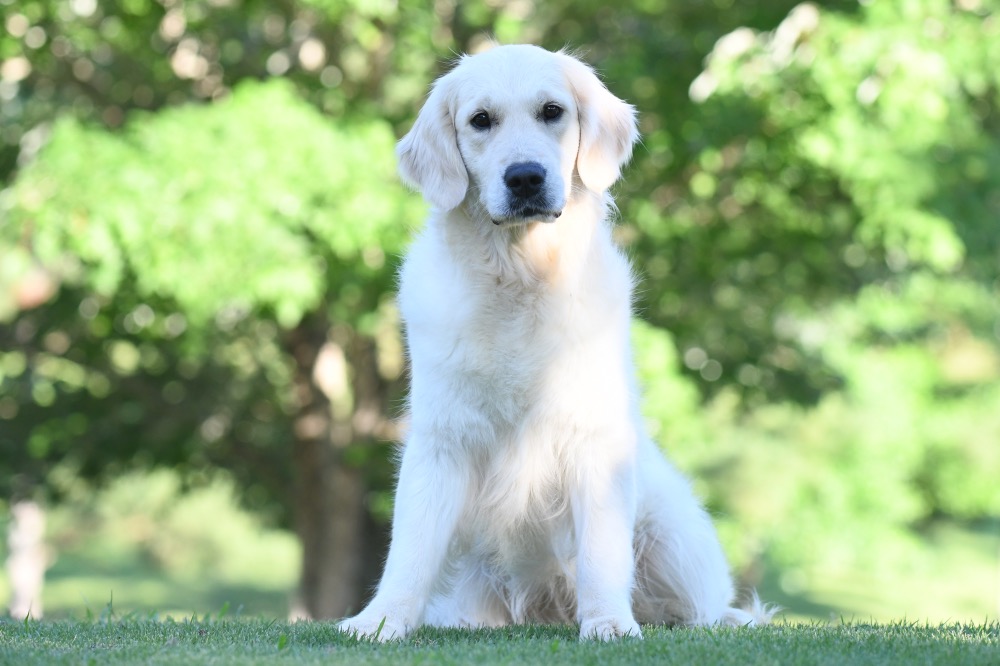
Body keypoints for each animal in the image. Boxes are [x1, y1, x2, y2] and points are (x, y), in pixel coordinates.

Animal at [340, 44, 768, 640]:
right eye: (480, 121)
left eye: (552, 112)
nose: (525, 178)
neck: (522, 276)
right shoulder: (441, 436)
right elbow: (411, 548)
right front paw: (381, 621)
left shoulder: (594, 437)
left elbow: (601, 553)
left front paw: (609, 622)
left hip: (671, 535)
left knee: (700, 609)